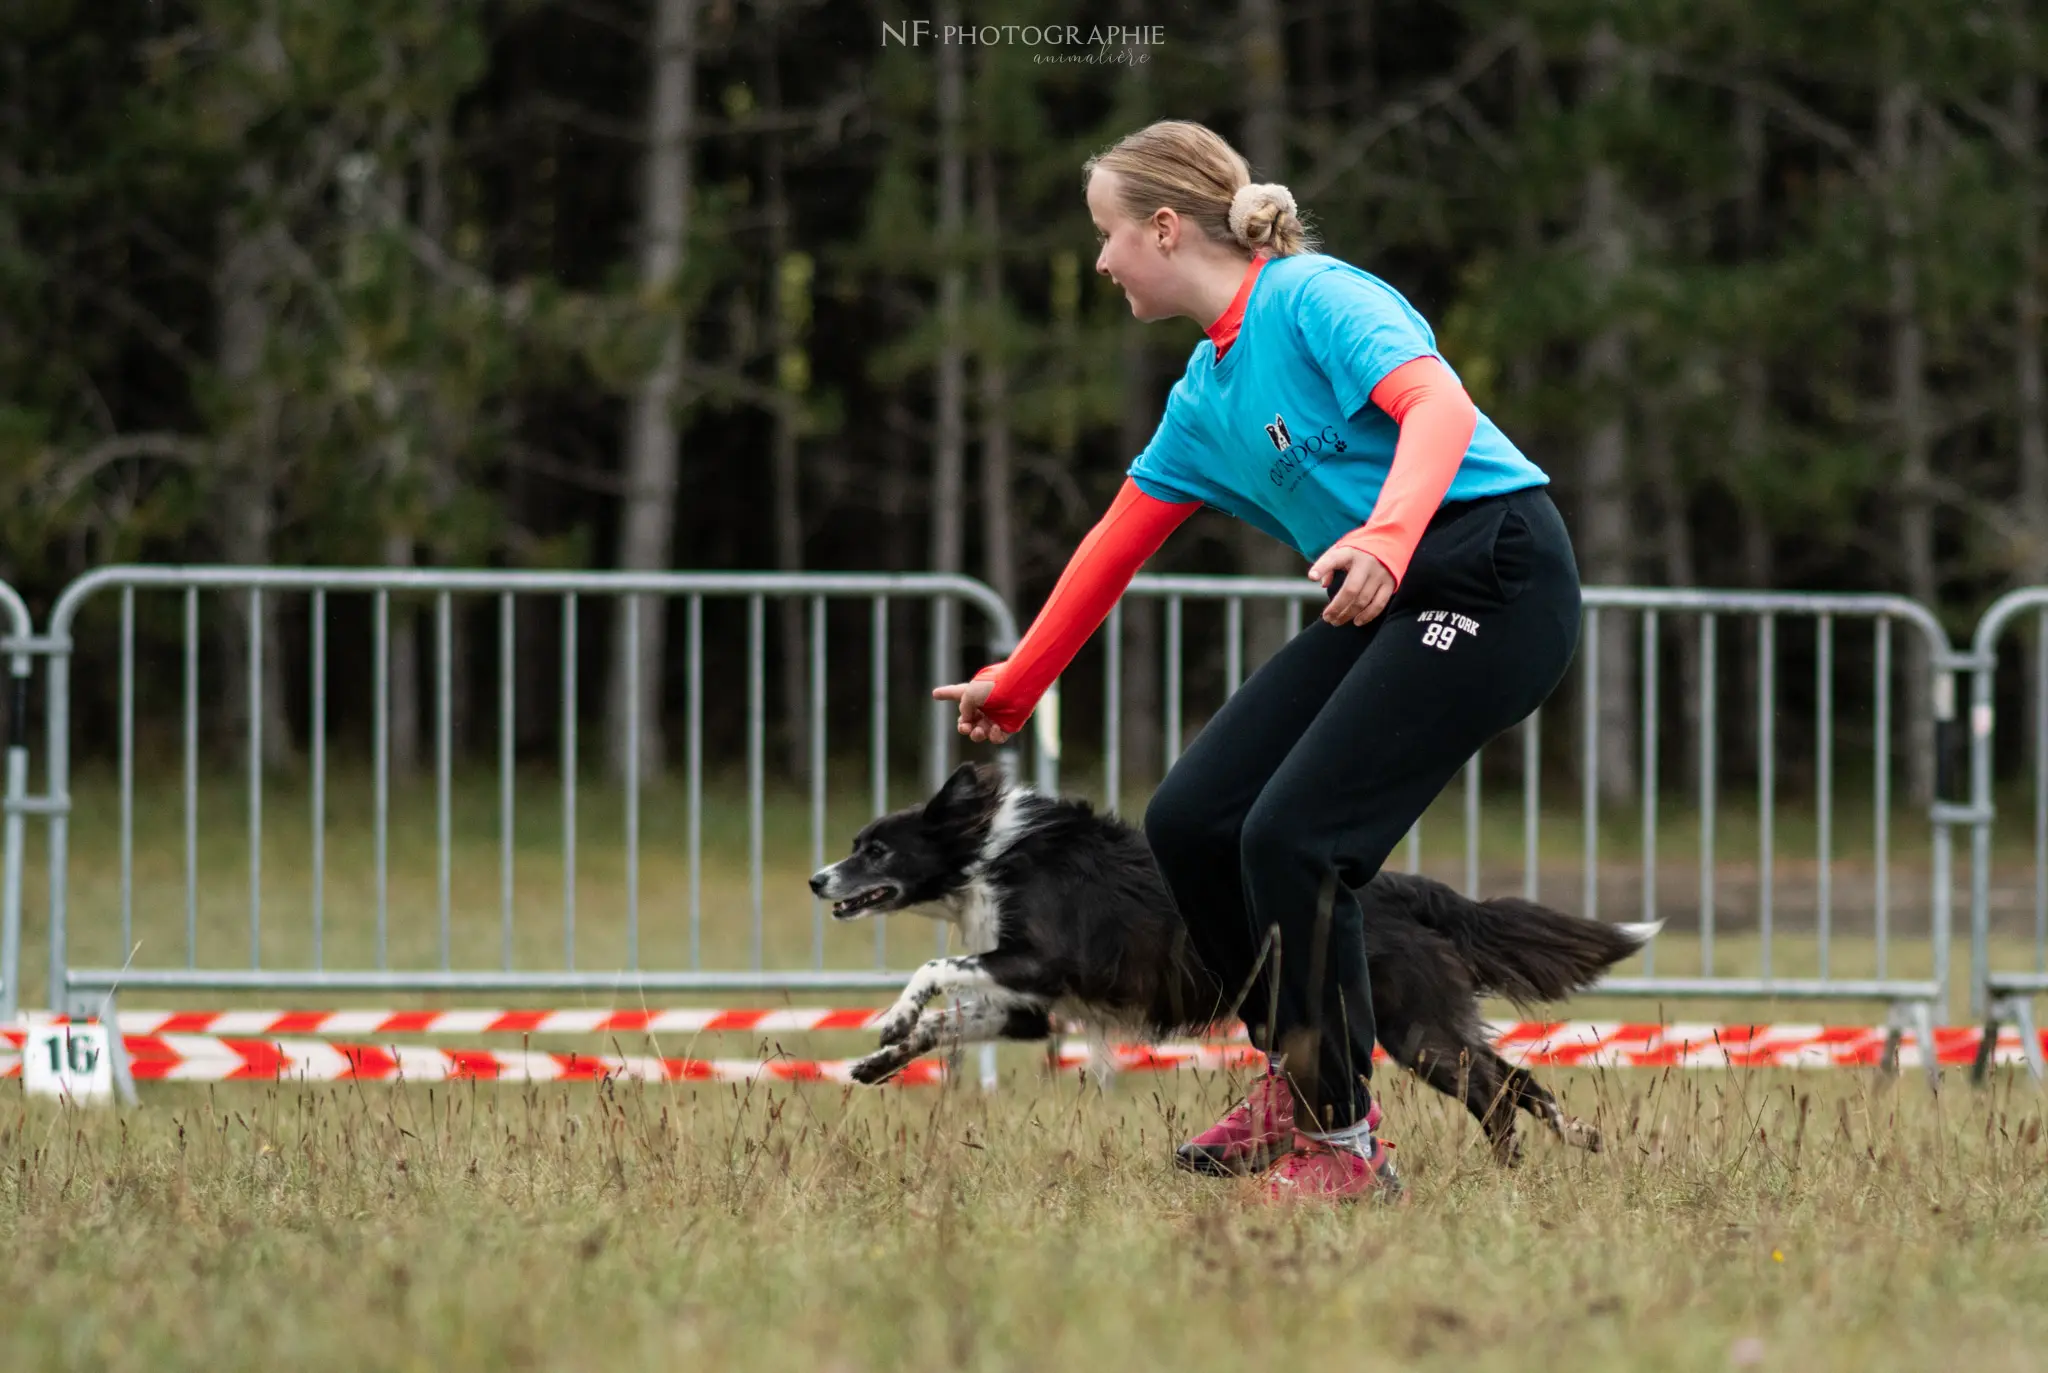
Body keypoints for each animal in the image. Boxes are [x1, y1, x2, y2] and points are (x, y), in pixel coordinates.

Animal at [806, 762, 1654, 1163]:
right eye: (855, 843)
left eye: (877, 850)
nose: (816, 880)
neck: (986, 851)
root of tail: (1407, 887)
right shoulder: (1030, 1004)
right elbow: (950, 1015)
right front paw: (880, 1056)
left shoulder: (1039, 961)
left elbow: (934, 967)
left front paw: (891, 1017)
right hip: (1420, 1024)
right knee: (1511, 1081)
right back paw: (1559, 1147)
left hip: (1413, 1025)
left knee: (1499, 1085)